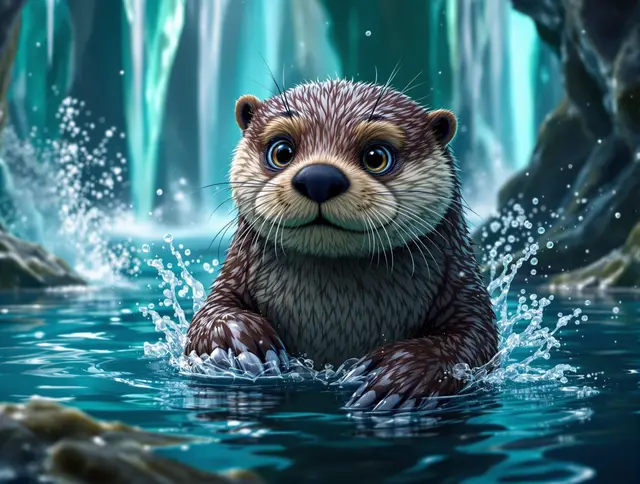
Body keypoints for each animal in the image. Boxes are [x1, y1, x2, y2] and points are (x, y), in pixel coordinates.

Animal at [185, 79, 498, 412]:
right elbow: (209, 317)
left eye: (376, 157)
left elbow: (476, 339)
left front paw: (401, 377)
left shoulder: (463, 286)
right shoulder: (233, 275)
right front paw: (238, 345)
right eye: (282, 151)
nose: (319, 178)